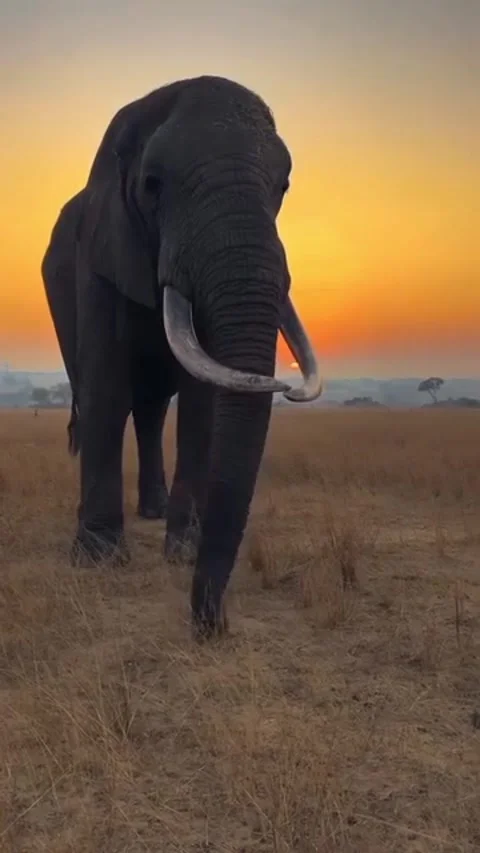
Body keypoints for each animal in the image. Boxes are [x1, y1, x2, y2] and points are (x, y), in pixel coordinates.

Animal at [41, 75, 322, 639]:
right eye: (152, 186)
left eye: (282, 187)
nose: (212, 625)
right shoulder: (102, 249)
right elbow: (106, 383)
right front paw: (99, 559)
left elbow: (202, 402)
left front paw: (183, 550)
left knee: (151, 410)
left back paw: (152, 512)